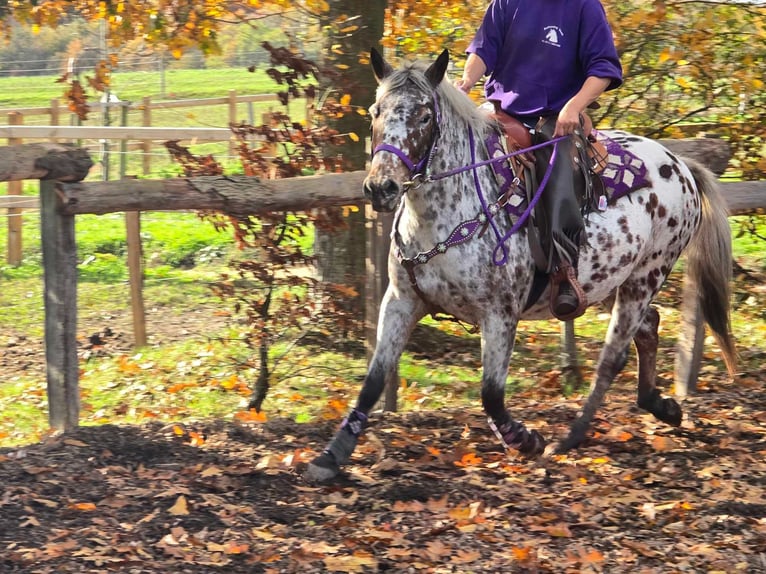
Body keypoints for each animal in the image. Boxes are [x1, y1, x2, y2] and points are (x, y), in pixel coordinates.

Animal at [304, 49, 736, 484]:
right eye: (376, 111)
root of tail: (681, 166)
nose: (382, 188)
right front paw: (331, 456)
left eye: (425, 117)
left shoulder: (499, 314)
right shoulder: (401, 301)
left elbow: (491, 394)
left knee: (613, 356)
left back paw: (572, 436)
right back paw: (662, 406)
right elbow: (374, 381)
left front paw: (526, 439)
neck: (446, 214)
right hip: (610, 281)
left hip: (646, 276)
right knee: (648, 328)